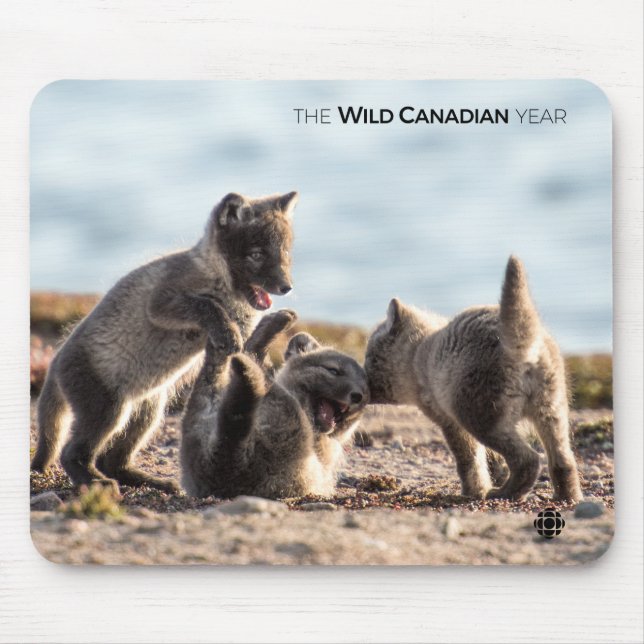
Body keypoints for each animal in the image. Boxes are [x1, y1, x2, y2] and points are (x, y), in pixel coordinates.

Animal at [31, 191, 299, 492]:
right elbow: (206, 304)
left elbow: (249, 338)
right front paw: (224, 328)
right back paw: (94, 482)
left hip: (148, 410)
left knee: (112, 461)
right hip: (108, 410)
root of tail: (54, 364)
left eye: (285, 253)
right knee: (70, 454)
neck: (220, 282)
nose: (286, 287)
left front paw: (273, 324)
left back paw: (146, 480)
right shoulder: (160, 302)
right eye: (256, 254)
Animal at [180, 310, 369, 499]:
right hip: (200, 420)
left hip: (285, 418)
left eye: (365, 389)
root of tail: (223, 464)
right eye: (333, 371)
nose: (358, 396)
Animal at [364, 255, 583, 502]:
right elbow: (488, 462)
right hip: (552, 410)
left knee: (528, 460)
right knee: (564, 461)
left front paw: (474, 491)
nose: (361, 383)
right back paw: (567, 497)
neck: (421, 353)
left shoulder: (449, 419)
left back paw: (504, 493)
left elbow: (469, 460)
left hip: (480, 415)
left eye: (370, 357)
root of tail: (523, 346)